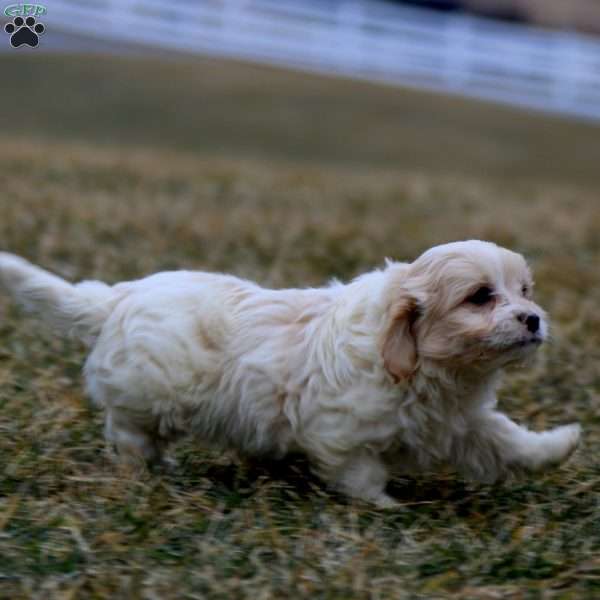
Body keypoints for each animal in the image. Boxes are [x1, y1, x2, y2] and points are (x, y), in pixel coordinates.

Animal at [0, 240, 580, 506]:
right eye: (480, 297)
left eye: (524, 290)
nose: (533, 319)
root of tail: (117, 298)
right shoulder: (340, 431)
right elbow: (360, 474)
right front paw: (385, 506)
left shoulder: (461, 423)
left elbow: (507, 442)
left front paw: (561, 444)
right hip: (145, 394)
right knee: (128, 431)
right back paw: (142, 469)